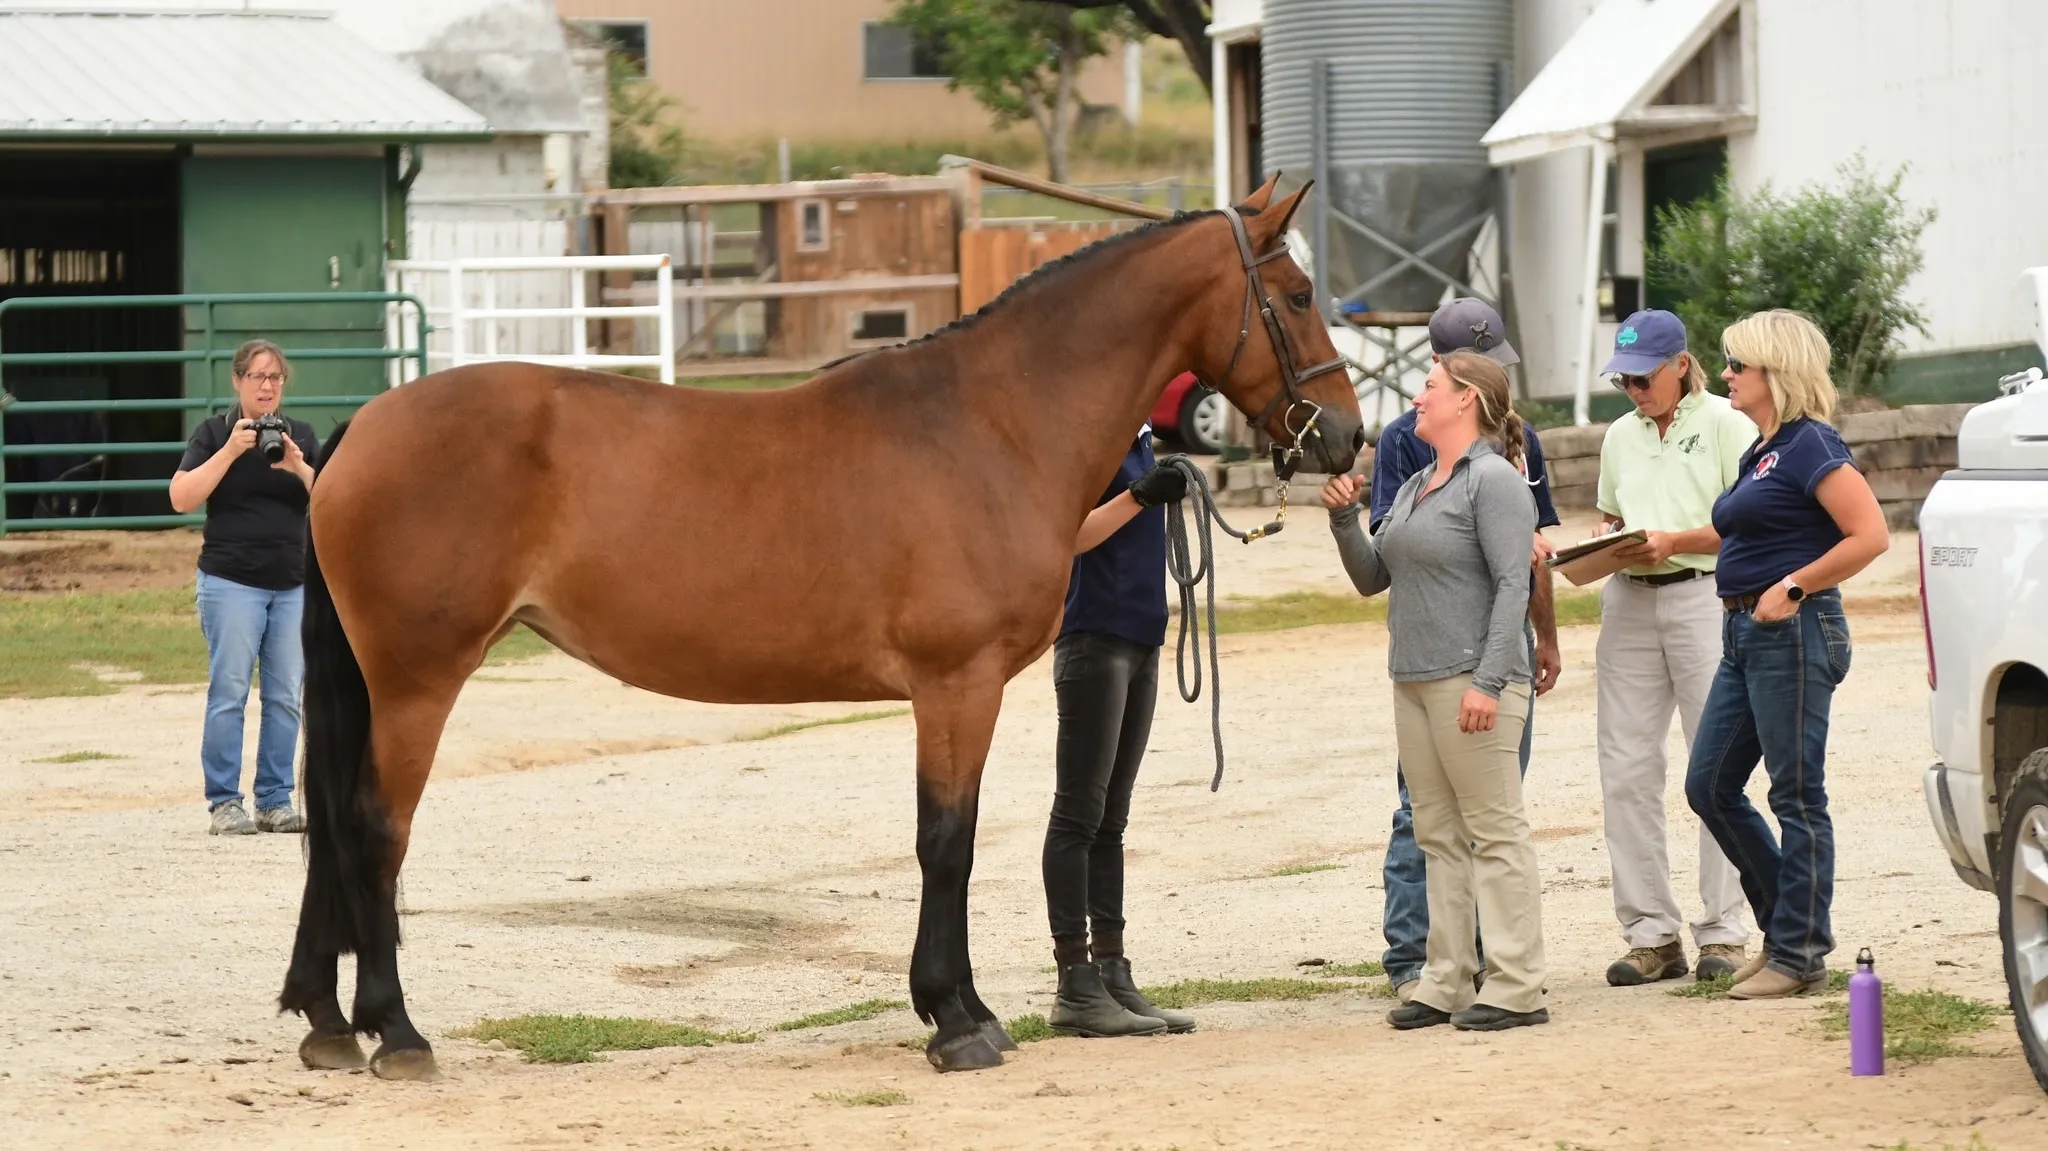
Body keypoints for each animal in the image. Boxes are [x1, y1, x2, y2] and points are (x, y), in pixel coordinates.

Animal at [278, 174, 1364, 1079]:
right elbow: (947, 841)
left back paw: (329, 1024)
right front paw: (956, 1020)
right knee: (374, 829)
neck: (990, 424)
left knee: (333, 830)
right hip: (417, 680)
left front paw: (964, 1008)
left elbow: (954, 838)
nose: (1346, 436)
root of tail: (361, 426)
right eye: (1298, 293)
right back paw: (397, 1031)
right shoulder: (956, 685)